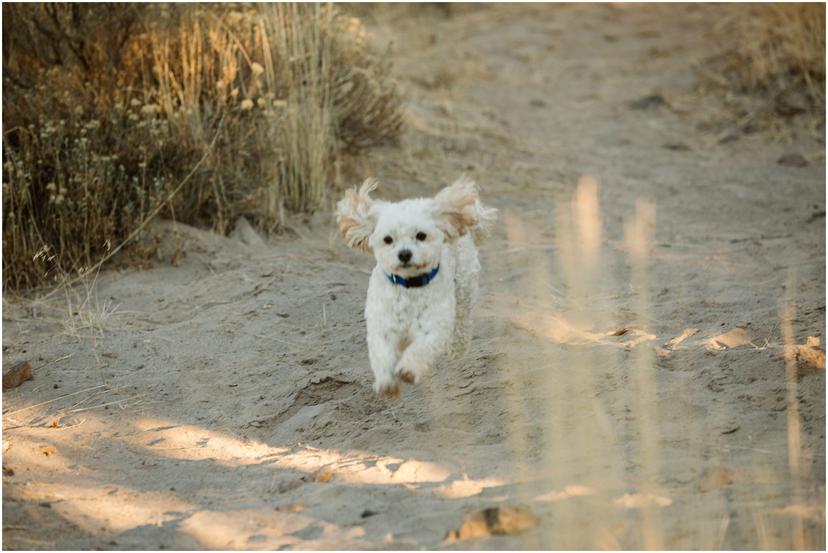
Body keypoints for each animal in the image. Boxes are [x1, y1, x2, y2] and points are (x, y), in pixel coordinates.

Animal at [336, 175, 498, 394]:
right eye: (388, 239)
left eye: (421, 235)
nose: (404, 254)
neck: (409, 285)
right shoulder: (383, 324)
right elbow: (382, 353)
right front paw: (386, 382)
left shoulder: (433, 324)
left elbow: (422, 348)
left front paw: (409, 370)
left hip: (464, 287)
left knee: (462, 321)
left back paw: (457, 347)